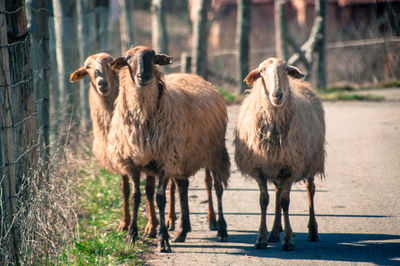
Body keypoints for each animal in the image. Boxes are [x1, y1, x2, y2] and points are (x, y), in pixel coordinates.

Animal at [69, 52, 160, 239]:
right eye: (87, 67)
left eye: (109, 63)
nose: (102, 83)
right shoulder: (121, 157)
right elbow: (125, 190)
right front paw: (124, 224)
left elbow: (149, 190)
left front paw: (151, 227)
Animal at [108, 45, 231, 251]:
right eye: (128, 58)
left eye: (153, 57)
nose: (143, 76)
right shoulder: (134, 162)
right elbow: (136, 196)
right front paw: (131, 235)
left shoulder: (164, 161)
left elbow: (160, 198)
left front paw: (163, 239)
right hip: (183, 157)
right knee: (183, 186)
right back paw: (182, 231)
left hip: (213, 153)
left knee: (218, 188)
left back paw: (221, 230)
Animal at [234, 57, 324, 250]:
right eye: (261, 71)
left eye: (286, 70)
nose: (277, 95)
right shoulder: (260, 168)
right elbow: (264, 200)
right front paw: (261, 238)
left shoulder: (291, 167)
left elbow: (285, 202)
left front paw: (288, 240)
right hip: (277, 166)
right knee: (277, 191)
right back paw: (275, 232)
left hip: (312, 160)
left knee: (310, 190)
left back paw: (313, 231)